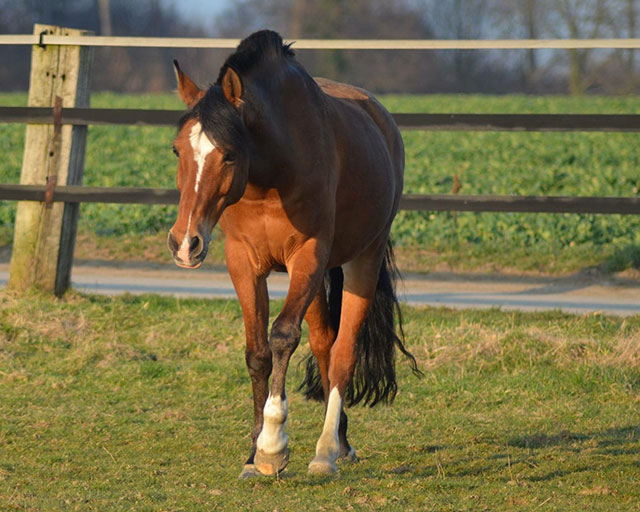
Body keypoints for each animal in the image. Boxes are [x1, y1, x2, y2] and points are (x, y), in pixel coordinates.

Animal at [167, 30, 419, 478]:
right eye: (178, 150)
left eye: (229, 154)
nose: (185, 243)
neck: (270, 177)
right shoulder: (243, 263)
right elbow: (257, 353)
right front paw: (252, 455)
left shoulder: (308, 256)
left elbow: (283, 335)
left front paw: (272, 446)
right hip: (317, 281)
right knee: (324, 344)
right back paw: (342, 440)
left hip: (361, 260)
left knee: (342, 353)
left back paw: (326, 451)